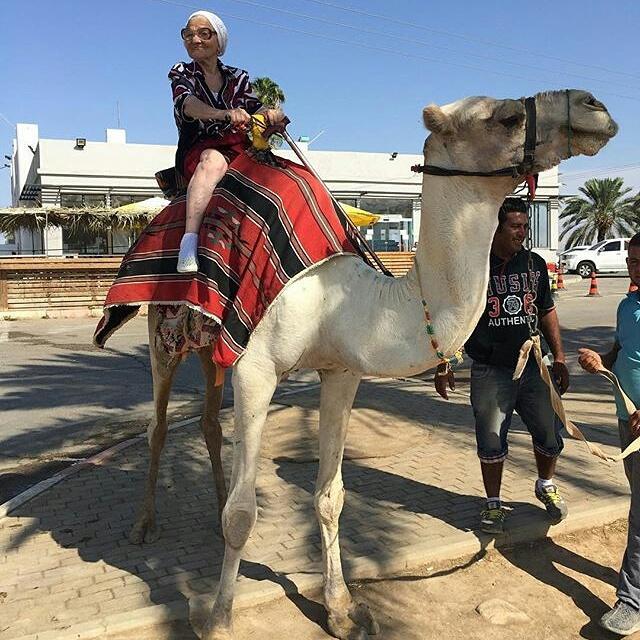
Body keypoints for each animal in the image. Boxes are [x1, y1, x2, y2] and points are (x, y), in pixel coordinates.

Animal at [129, 86, 616, 640]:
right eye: (507, 117)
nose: (594, 106)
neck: (338, 298)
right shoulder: (256, 367)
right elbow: (244, 513)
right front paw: (218, 620)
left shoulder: (342, 371)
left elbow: (329, 496)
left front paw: (341, 609)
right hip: (163, 333)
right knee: (159, 425)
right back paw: (144, 525)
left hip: (211, 349)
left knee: (209, 421)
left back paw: (209, 508)